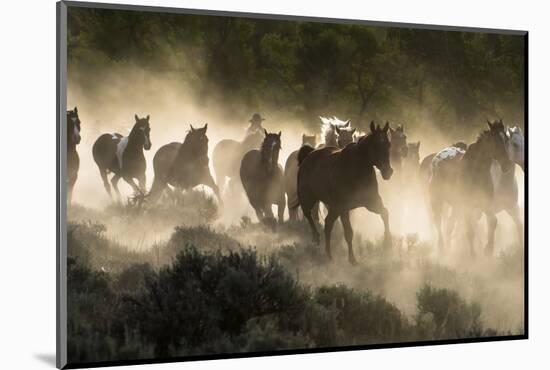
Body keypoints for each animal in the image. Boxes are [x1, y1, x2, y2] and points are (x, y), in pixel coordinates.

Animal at [296, 120, 394, 264]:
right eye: (375, 145)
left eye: (388, 144)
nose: (388, 172)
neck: (356, 170)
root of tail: (308, 155)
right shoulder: (344, 208)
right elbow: (348, 233)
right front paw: (352, 259)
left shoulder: (371, 202)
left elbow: (385, 213)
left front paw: (388, 242)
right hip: (309, 198)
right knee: (308, 214)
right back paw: (316, 237)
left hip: (333, 208)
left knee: (328, 223)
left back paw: (329, 254)